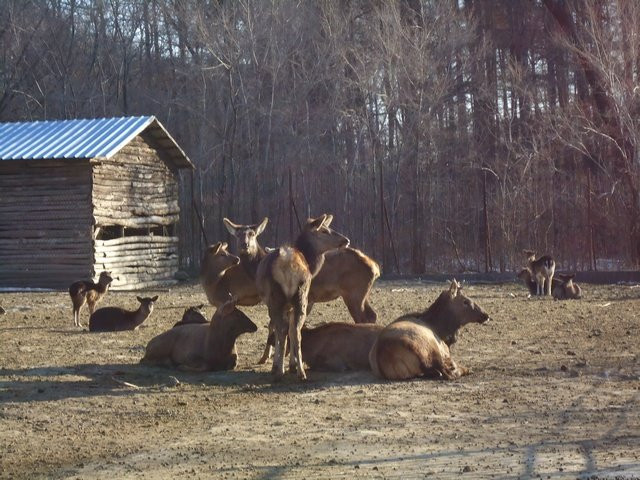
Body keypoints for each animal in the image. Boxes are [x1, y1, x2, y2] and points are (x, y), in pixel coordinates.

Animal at [255, 216, 350, 380]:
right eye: (324, 230)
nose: (346, 240)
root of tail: (288, 265)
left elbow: (281, 331)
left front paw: (279, 366)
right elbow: (291, 331)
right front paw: (291, 365)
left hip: (277, 299)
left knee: (282, 331)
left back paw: (280, 371)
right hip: (300, 296)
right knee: (296, 331)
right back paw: (300, 372)